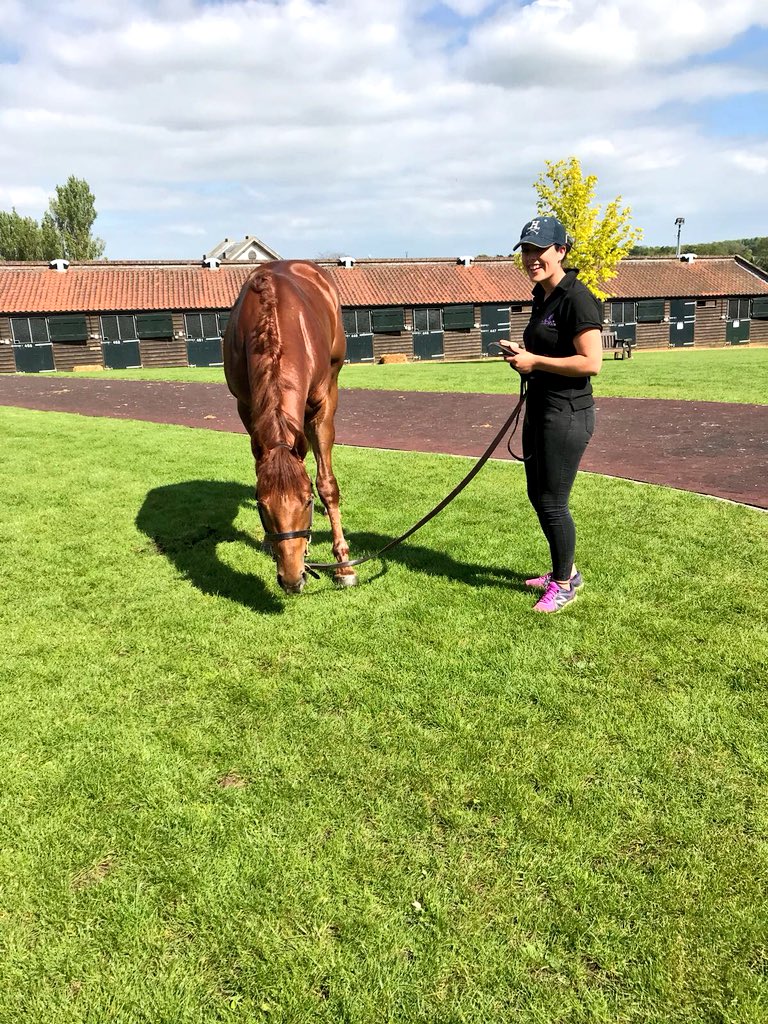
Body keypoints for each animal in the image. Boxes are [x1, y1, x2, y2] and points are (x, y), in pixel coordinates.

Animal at [223, 260, 356, 595]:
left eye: (307, 501)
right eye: (261, 504)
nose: (293, 578)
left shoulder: (323, 403)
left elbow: (327, 484)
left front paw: (344, 564)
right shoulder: (246, 408)